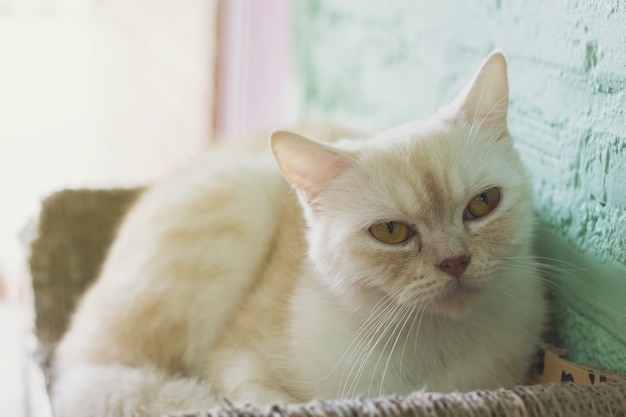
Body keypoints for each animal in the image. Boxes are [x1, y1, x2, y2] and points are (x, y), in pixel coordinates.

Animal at [51, 52, 544, 416]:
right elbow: (264, 398)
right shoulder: (232, 359)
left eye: (483, 204)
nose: (454, 262)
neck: (431, 344)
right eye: (391, 231)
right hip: (238, 200)